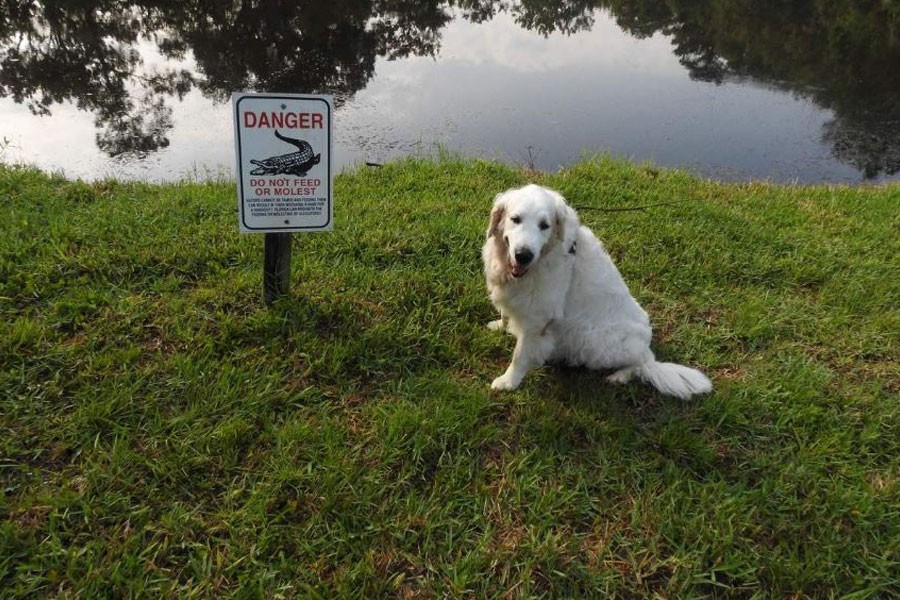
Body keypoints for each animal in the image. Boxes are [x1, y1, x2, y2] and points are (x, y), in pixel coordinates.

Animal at [482, 183, 712, 398]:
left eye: (544, 225)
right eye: (515, 219)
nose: (523, 255)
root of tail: (648, 350)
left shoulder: (538, 320)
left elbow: (519, 356)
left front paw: (508, 382)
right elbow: (505, 316)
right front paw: (500, 326)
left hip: (594, 340)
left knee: (639, 365)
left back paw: (619, 376)